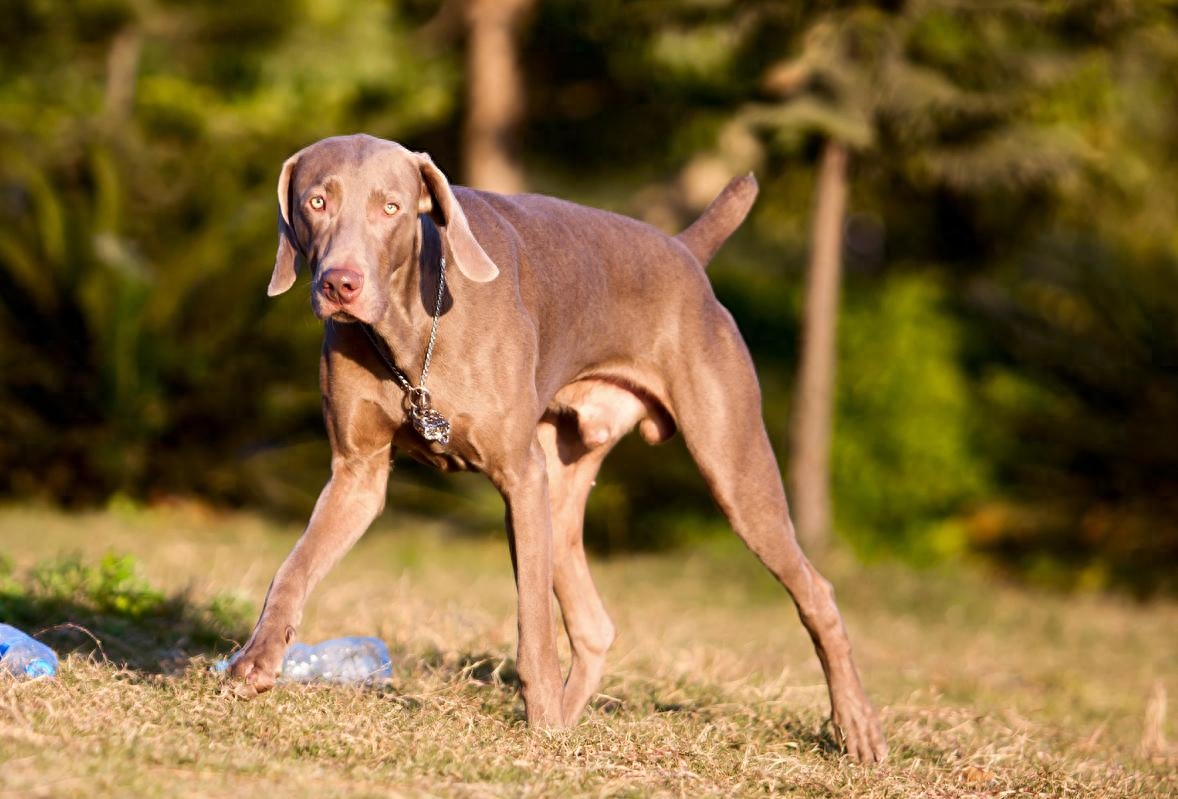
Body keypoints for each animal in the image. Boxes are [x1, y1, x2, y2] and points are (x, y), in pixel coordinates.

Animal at [229, 133, 885, 763]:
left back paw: (856, 730)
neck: (411, 330)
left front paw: (538, 721)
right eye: (317, 201)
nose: (340, 284)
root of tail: (683, 252)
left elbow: (533, 629)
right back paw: (569, 724)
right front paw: (255, 662)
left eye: (390, 207)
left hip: (730, 463)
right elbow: (294, 567)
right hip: (563, 482)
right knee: (595, 625)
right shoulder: (357, 475)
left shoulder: (519, 477)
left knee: (815, 591)